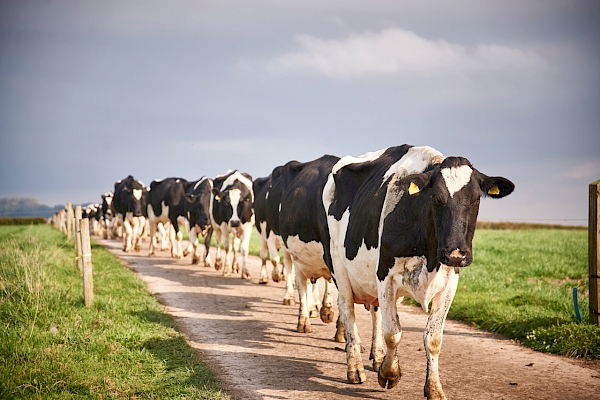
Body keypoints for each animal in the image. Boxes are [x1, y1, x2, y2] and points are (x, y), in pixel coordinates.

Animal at [324, 145, 516, 398]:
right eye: (436, 198)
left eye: (476, 199)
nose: (456, 254)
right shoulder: (385, 276)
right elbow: (392, 333)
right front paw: (389, 374)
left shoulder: (449, 282)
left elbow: (433, 338)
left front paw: (434, 388)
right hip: (339, 267)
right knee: (348, 313)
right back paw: (355, 368)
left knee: (374, 312)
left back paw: (377, 357)